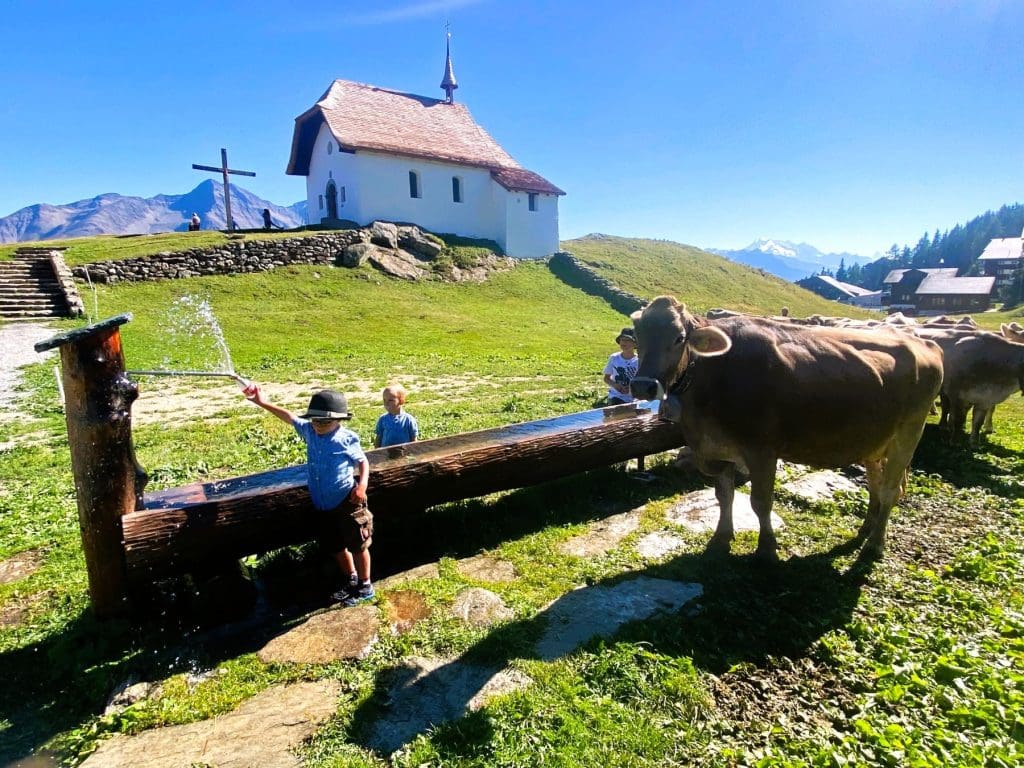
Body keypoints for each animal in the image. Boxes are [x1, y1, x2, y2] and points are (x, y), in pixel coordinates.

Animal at [626, 296, 946, 561]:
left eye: (679, 338)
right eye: (638, 335)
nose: (643, 386)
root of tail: (925, 343)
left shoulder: (762, 450)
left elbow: (760, 502)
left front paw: (766, 548)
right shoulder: (717, 448)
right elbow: (724, 496)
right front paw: (721, 537)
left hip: (909, 432)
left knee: (891, 489)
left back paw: (875, 545)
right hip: (875, 440)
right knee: (877, 484)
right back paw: (867, 527)